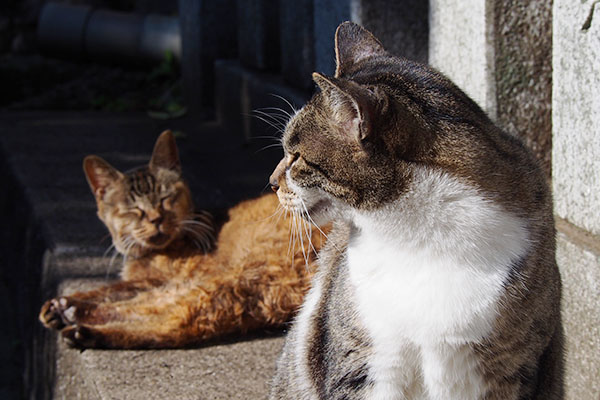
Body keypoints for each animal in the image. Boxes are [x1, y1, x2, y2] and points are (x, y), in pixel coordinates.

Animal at [39, 130, 326, 346]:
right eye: (133, 209)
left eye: (166, 198)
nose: (155, 218)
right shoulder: (154, 280)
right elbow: (113, 288)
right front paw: (62, 304)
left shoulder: (170, 278)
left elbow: (118, 290)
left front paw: (67, 305)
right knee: (177, 320)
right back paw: (75, 321)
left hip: (235, 276)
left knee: (170, 316)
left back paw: (80, 322)